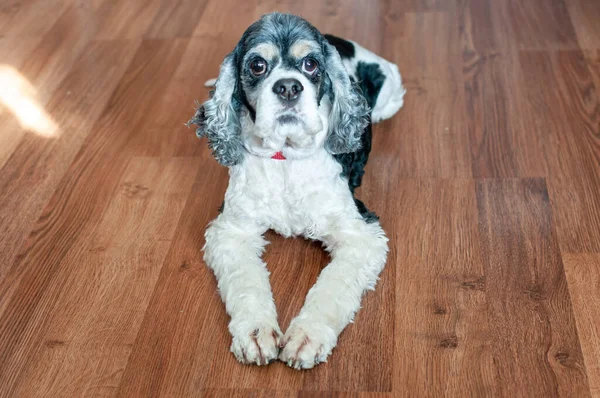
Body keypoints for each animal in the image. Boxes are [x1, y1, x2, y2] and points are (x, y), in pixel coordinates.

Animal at [190, 12, 406, 370]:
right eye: (258, 65)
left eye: (310, 64)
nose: (289, 87)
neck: (285, 158)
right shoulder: (231, 231)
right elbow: (246, 281)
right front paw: (255, 333)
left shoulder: (361, 233)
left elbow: (333, 284)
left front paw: (308, 336)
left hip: (389, 89)